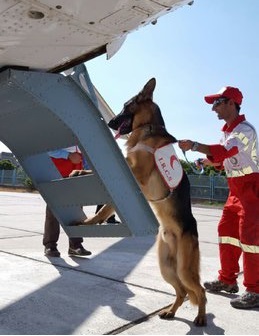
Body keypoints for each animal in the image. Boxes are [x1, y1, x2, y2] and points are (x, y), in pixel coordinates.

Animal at [72, 79, 208, 326]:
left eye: (127, 106)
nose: (109, 122)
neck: (148, 129)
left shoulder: (136, 174)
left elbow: (105, 202)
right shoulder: (127, 172)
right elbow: (104, 203)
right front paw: (79, 172)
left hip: (184, 269)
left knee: (200, 291)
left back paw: (201, 317)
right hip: (167, 268)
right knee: (182, 292)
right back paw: (171, 312)